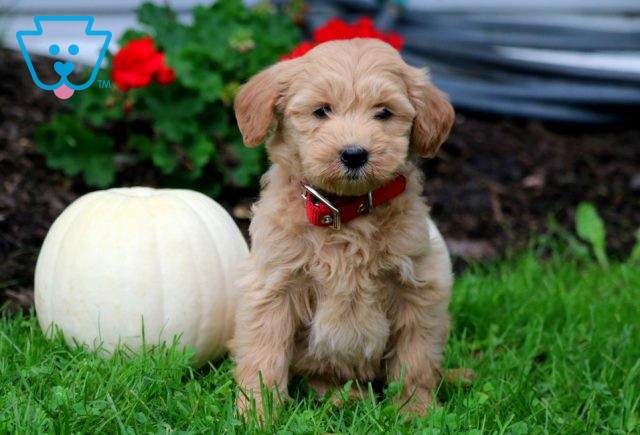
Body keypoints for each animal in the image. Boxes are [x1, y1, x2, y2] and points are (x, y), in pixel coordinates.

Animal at [230, 37, 456, 416]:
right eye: (322, 111)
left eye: (384, 112)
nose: (354, 154)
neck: (344, 211)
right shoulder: (274, 286)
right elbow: (264, 357)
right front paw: (258, 414)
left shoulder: (416, 288)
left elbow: (414, 359)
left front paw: (417, 412)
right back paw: (343, 397)